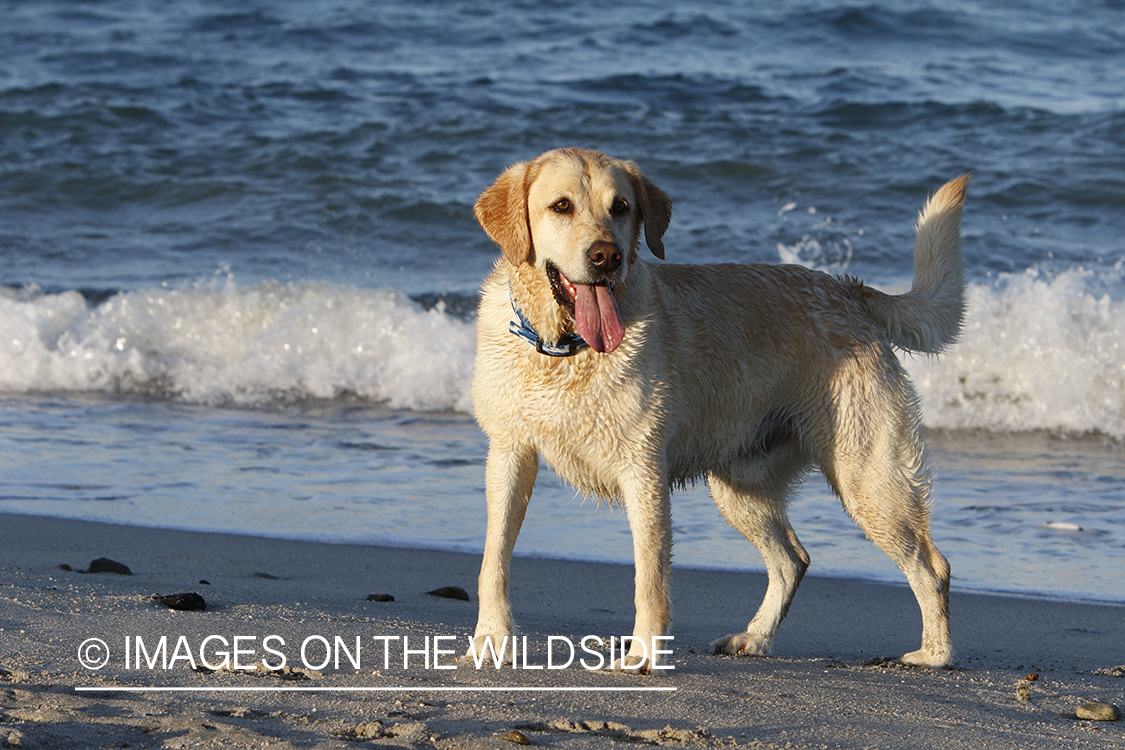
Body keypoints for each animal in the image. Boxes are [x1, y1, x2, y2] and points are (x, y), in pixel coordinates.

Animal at [465, 148, 967, 674]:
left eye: (620, 207)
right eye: (561, 206)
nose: (607, 256)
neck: (566, 350)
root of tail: (848, 291)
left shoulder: (642, 469)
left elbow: (650, 576)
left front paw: (644, 654)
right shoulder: (509, 453)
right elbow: (494, 558)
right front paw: (491, 640)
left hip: (866, 477)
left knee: (931, 565)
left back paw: (934, 654)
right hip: (740, 487)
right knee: (793, 560)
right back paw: (755, 637)